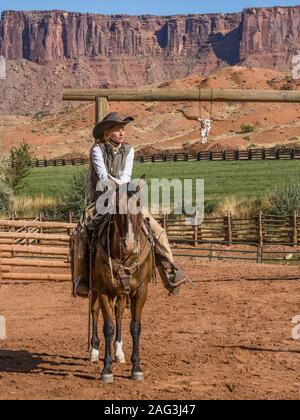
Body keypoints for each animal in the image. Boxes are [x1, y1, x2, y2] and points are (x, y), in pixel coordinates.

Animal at [88, 178, 155, 384]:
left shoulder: (141, 290)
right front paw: (107, 370)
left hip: (121, 293)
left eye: (139, 203)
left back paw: (119, 351)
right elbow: (108, 327)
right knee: (95, 312)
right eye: (117, 206)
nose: (130, 245)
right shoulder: (103, 290)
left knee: (118, 313)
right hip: (96, 290)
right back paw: (94, 351)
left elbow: (135, 327)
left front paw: (137, 368)